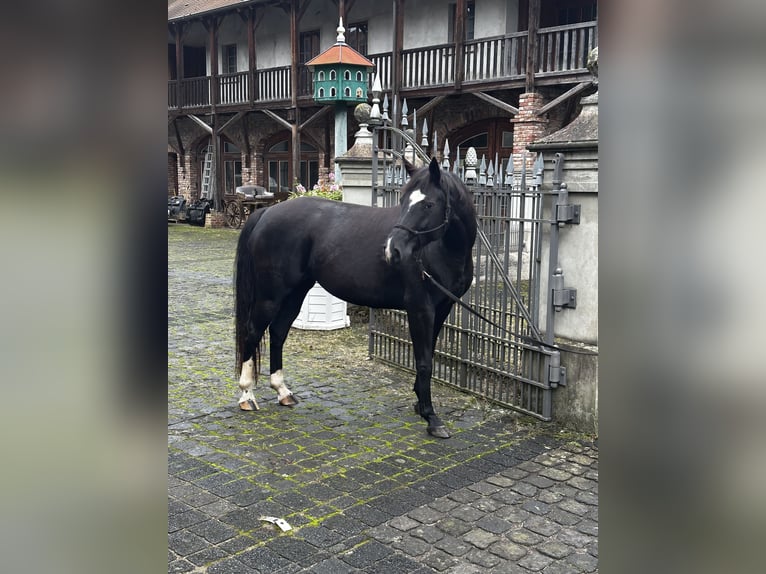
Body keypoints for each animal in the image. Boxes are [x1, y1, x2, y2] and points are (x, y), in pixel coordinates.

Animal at [234, 158, 476, 440]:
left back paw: (283, 391)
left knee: (278, 332)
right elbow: (424, 361)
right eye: (404, 200)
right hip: (270, 295)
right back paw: (247, 395)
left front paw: (420, 404)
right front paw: (431, 417)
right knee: (252, 332)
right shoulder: (420, 308)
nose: (392, 250)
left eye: (428, 204)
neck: (444, 251)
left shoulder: (442, 308)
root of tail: (266, 213)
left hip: (296, 293)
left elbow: (428, 355)